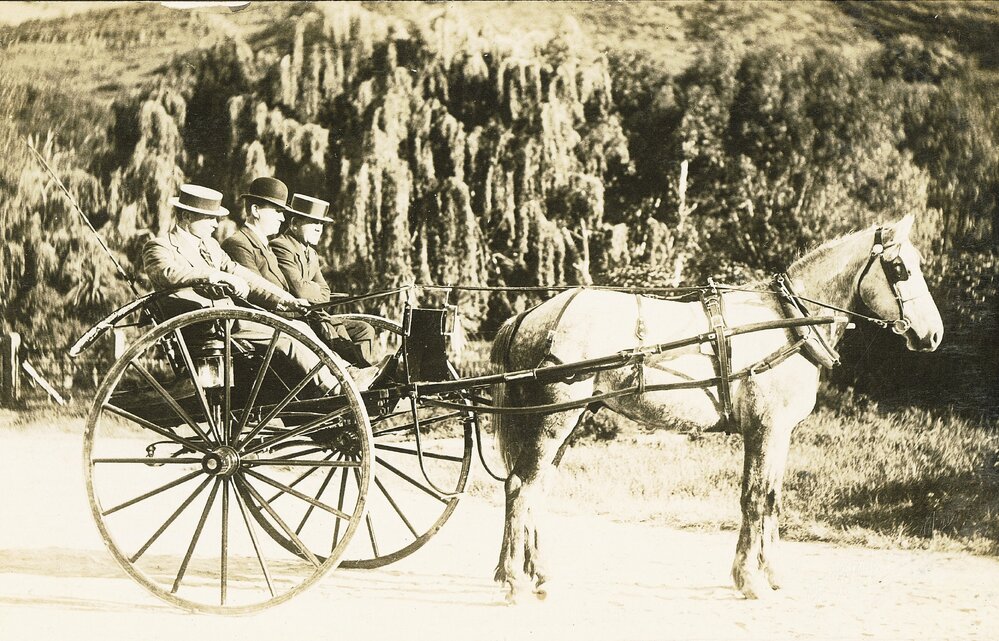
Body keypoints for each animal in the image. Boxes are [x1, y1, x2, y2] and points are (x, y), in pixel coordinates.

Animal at [489, 214, 943, 601]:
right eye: (900, 269)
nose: (933, 334)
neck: (788, 321)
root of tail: (531, 314)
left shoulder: (780, 432)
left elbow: (771, 497)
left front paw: (771, 573)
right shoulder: (765, 428)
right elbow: (755, 498)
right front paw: (750, 580)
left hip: (572, 417)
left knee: (535, 488)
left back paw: (540, 573)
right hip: (554, 419)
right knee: (521, 487)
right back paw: (515, 580)